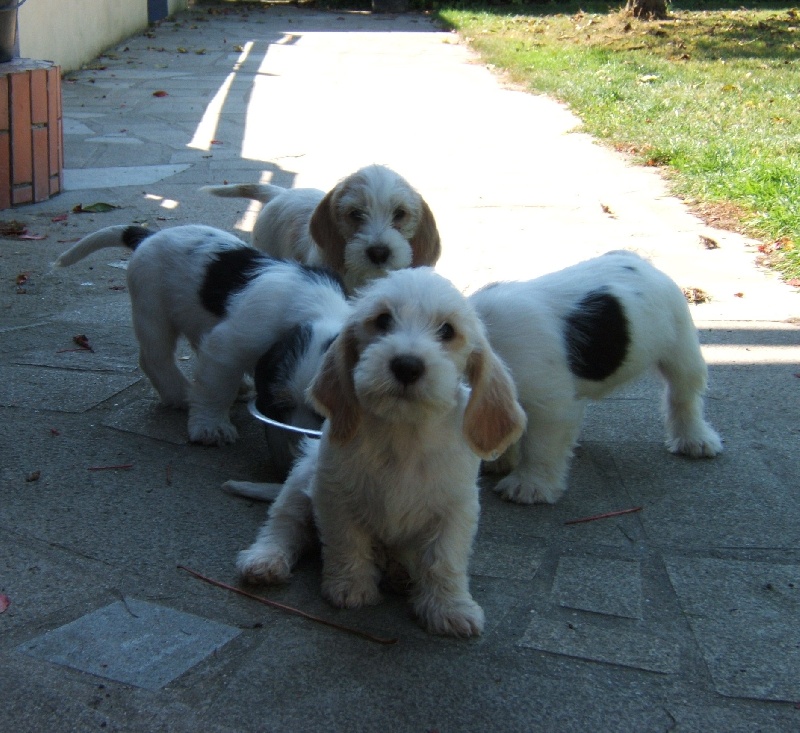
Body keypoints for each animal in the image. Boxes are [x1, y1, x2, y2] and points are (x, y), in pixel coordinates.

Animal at [53, 226, 346, 448]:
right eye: (281, 404)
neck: (318, 310)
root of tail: (150, 235)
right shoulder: (230, 345)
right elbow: (215, 388)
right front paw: (211, 428)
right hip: (152, 311)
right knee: (155, 358)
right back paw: (178, 394)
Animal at [234, 268, 528, 636]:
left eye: (447, 330)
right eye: (383, 320)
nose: (406, 366)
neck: (403, 435)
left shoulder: (455, 509)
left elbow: (444, 559)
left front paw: (449, 607)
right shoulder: (336, 494)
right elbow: (347, 542)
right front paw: (350, 586)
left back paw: (401, 574)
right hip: (300, 480)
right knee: (284, 525)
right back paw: (266, 560)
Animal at [468, 249, 724, 506]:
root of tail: (634, 258)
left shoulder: (548, 407)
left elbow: (540, 447)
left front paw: (530, 484)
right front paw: (501, 458)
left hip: (681, 349)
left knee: (683, 397)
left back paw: (695, 439)